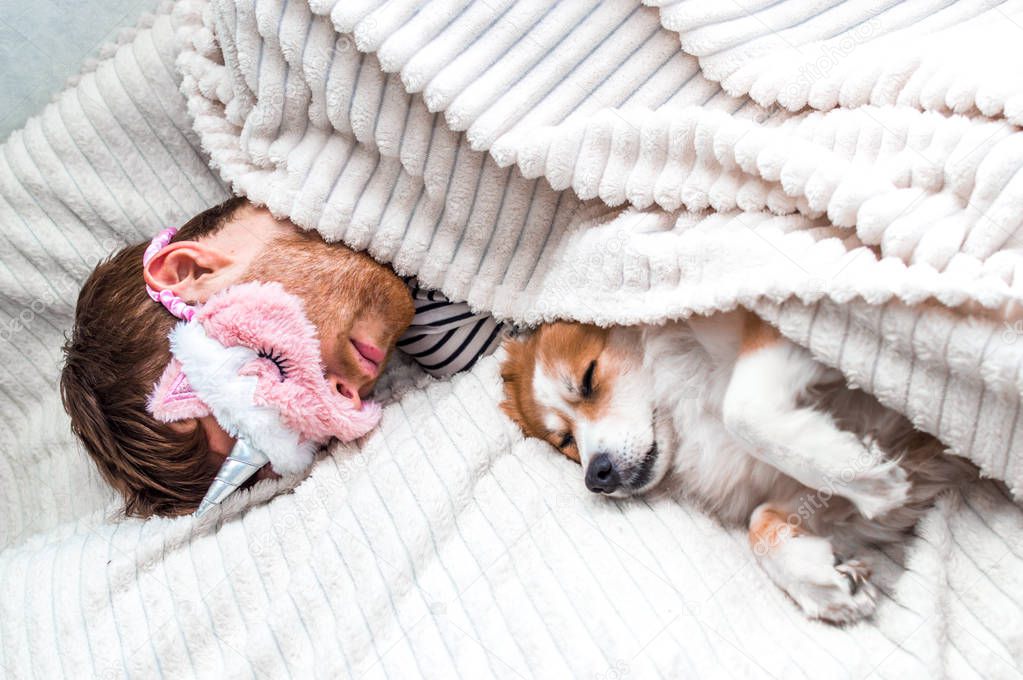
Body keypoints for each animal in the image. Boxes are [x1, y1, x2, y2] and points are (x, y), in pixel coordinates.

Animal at [499, 310, 977, 621]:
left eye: (588, 378)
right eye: (566, 442)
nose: (595, 476)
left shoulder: (783, 329)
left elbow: (743, 412)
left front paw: (867, 478)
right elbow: (760, 523)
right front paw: (820, 580)